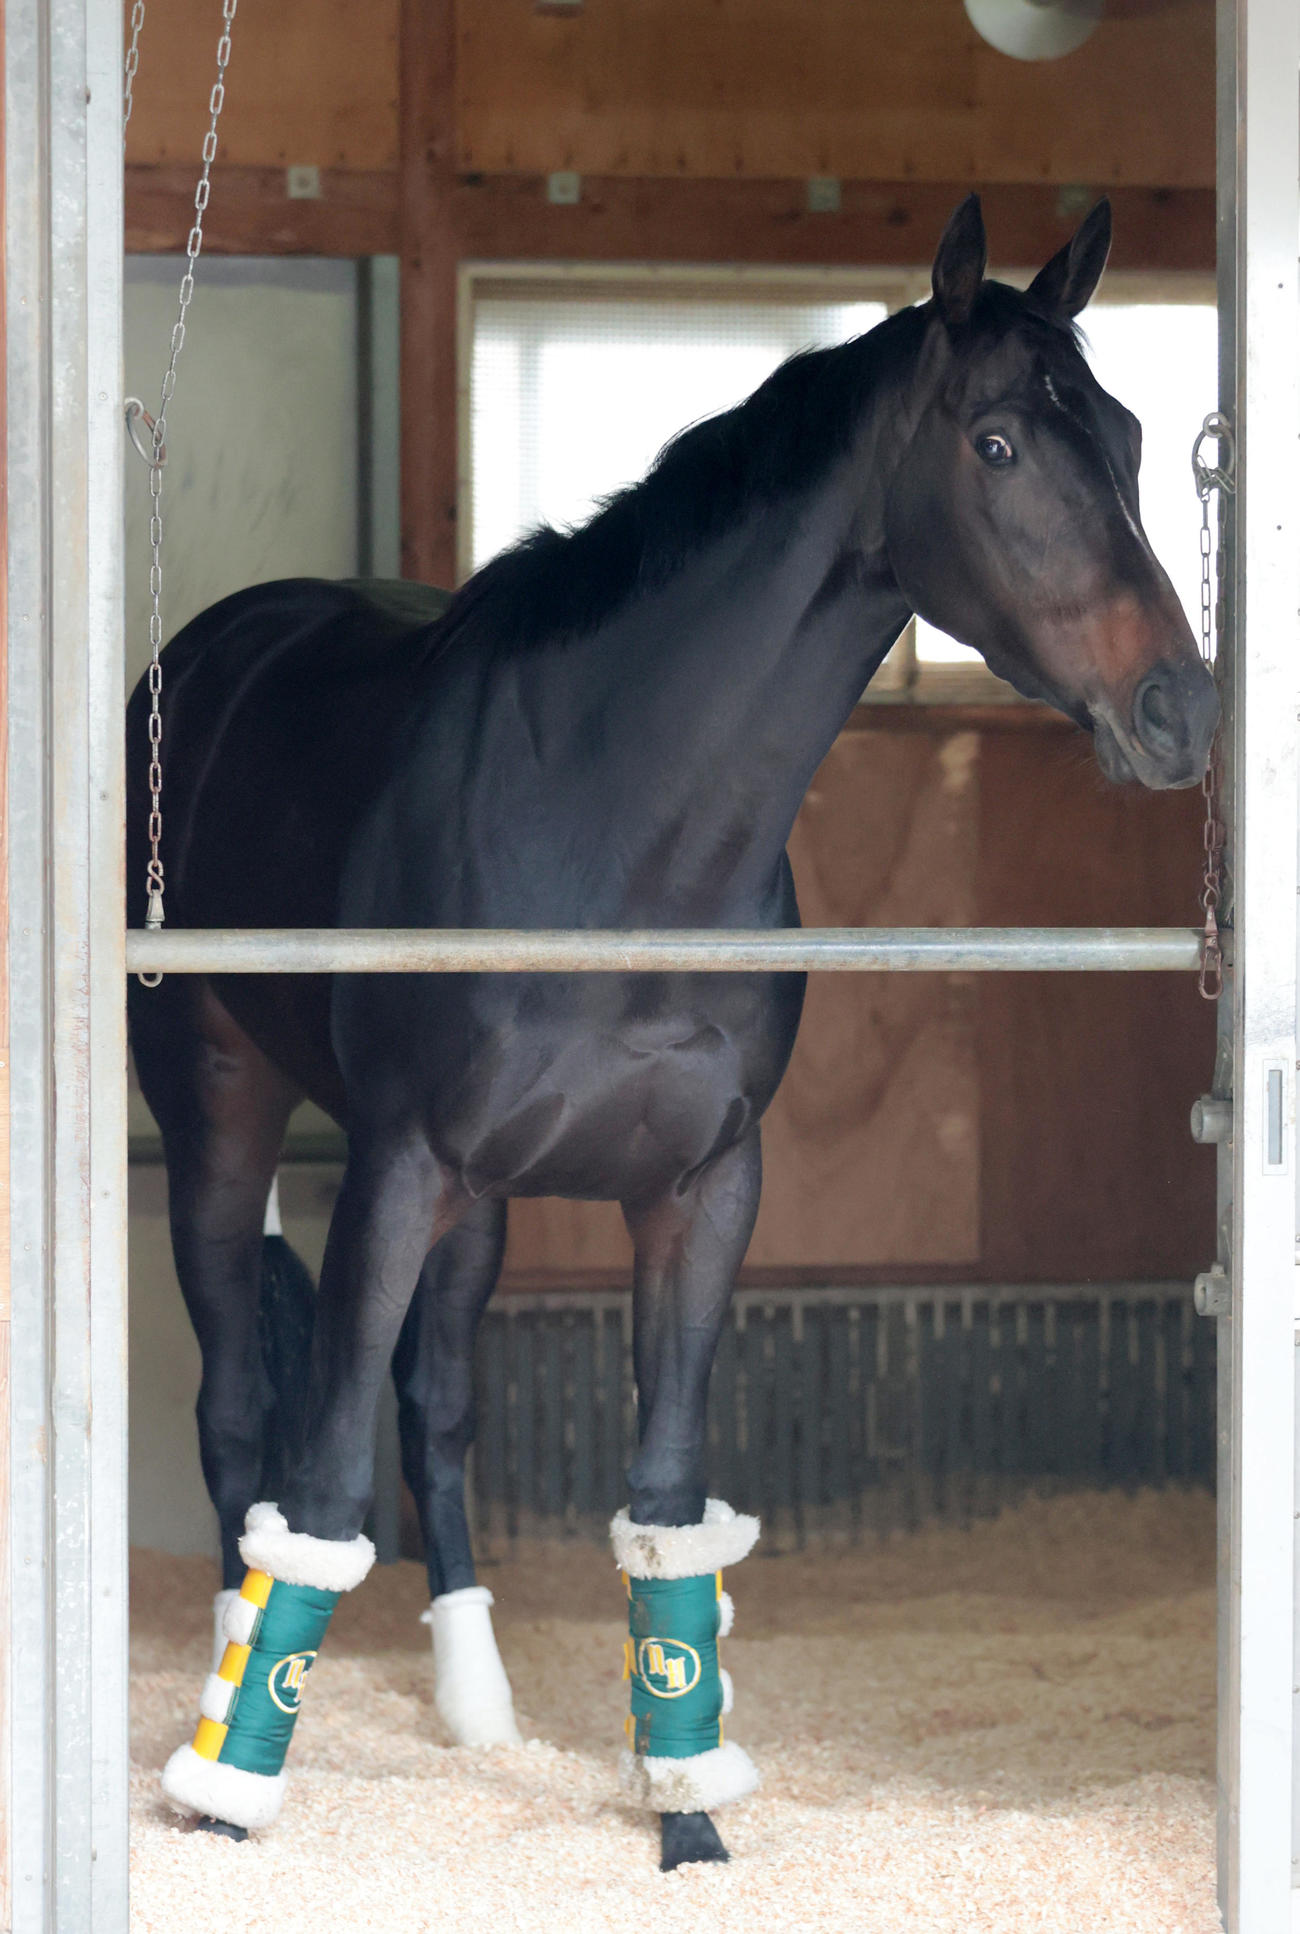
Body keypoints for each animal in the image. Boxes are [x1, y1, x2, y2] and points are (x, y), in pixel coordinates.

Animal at [128, 194, 1217, 1871]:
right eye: (996, 445)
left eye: (1136, 437)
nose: (1184, 711)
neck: (612, 810)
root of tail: (216, 649)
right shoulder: (393, 1164)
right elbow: (315, 1491)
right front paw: (234, 1797)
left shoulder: (700, 1191)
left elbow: (662, 1499)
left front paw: (685, 1812)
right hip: (227, 1125)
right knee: (243, 1408)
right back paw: (218, 1686)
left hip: (482, 1201)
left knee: (440, 1411)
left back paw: (476, 1705)